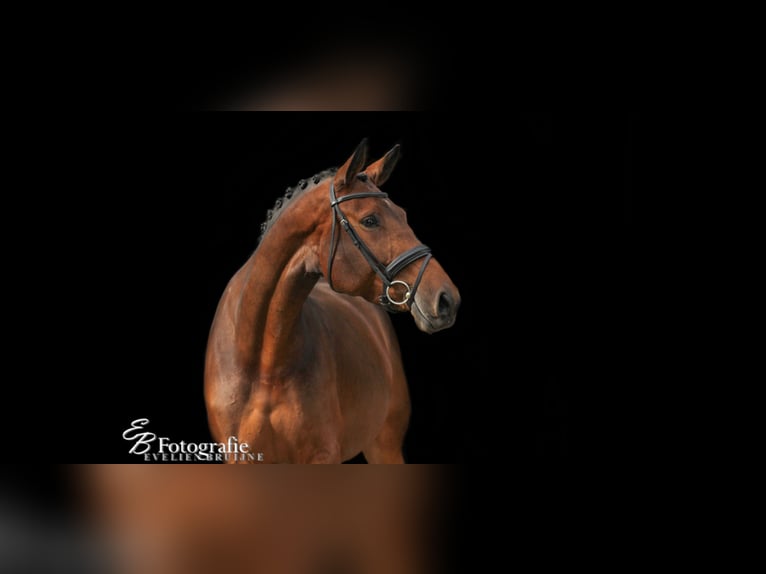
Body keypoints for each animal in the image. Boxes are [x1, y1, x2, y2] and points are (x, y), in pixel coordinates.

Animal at [204, 139, 460, 463]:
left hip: (384, 446)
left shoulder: (322, 456)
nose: (447, 299)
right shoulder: (240, 456)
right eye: (370, 220)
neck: (263, 361)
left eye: (402, 214)